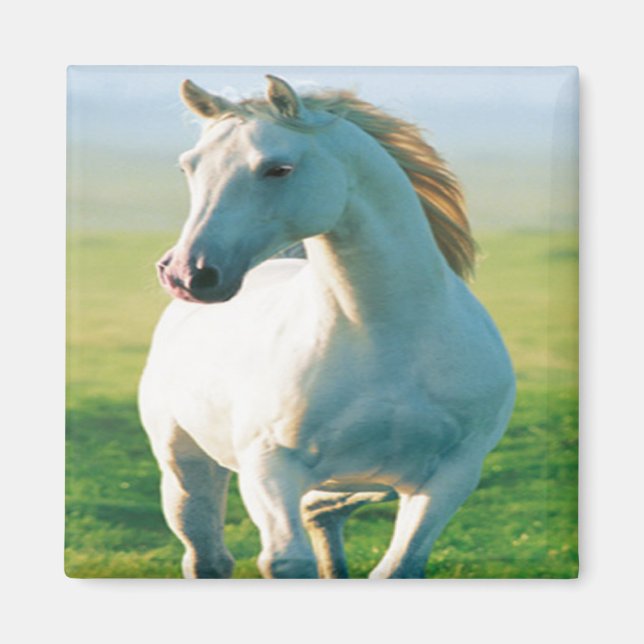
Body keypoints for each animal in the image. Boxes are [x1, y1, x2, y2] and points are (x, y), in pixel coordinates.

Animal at [138, 75, 516, 579]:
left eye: (278, 169)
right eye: (188, 167)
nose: (187, 273)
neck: (385, 337)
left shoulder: (452, 474)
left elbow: (397, 566)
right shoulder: (269, 466)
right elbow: (286, 560)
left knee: (322, 509)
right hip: (185, 466)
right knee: (209, 557)